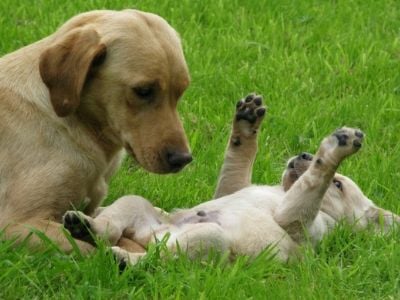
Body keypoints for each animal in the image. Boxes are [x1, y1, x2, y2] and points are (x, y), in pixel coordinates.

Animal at [62, 94, 400, 262]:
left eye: (338, 185)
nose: (304, 154)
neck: (281, 192)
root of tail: (150, 238)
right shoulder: (232, 187)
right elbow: (238, 161)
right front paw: (247, 122)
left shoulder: (300, 224)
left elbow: (311, 185)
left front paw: (335, 148)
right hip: (140, 210)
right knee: (116, 223)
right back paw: (86, 225)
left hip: (210, 241)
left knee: (158, 260)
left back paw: (122, 259)